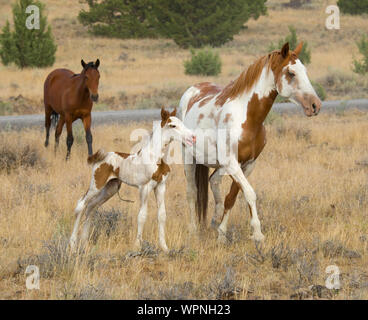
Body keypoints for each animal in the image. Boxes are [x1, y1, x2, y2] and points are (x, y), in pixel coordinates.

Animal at [68, 107, 196, 252]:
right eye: (172, 125)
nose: (192, 137)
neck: (155, 158)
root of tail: (100, 157)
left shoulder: (161, 186)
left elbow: (162, 215)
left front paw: (164, 247)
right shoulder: (144, 188)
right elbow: (142, 216)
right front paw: (137, 246)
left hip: (110, 188)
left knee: (90, 206)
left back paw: (84, 242)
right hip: (97, 184)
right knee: (81, 205)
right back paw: (72, 244)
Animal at [180, 42, 320, 242]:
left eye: (304, 70)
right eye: (291, 73)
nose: (315, 105)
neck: (248, 118)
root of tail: (193, 90)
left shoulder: (248, 164)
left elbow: (232, 197)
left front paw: (222, 233)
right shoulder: (233, 164)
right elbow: (250, 194)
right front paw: (258, 234)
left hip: (219, 165)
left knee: (213, 181)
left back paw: (214, 220)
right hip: (188, 158)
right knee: (192, 191)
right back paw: (193, 230)